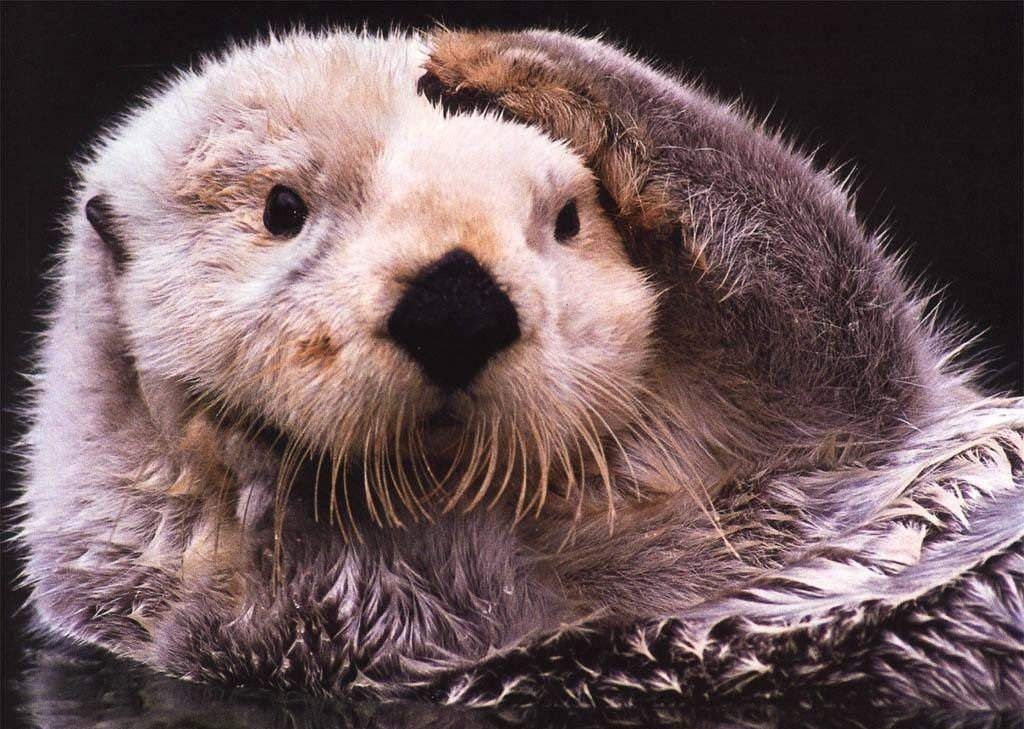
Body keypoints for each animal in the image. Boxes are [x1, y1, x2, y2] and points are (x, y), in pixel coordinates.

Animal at [16, 28, 974, 697]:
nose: (456, 305)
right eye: (282, 208)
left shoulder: (842, 437)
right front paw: (253, 459)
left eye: (569, 220)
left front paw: (507, 60)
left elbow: (833, 311)